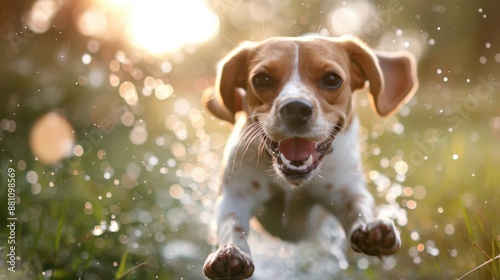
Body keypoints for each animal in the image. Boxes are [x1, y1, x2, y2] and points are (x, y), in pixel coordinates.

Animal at [202, 35, 418, 280]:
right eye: (261, 79)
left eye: (332, 79)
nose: (295, 107)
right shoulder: (234, 196)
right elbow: (231, 224)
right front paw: (230, 252)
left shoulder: (345, 190)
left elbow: (358, 206)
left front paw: (373, 228)